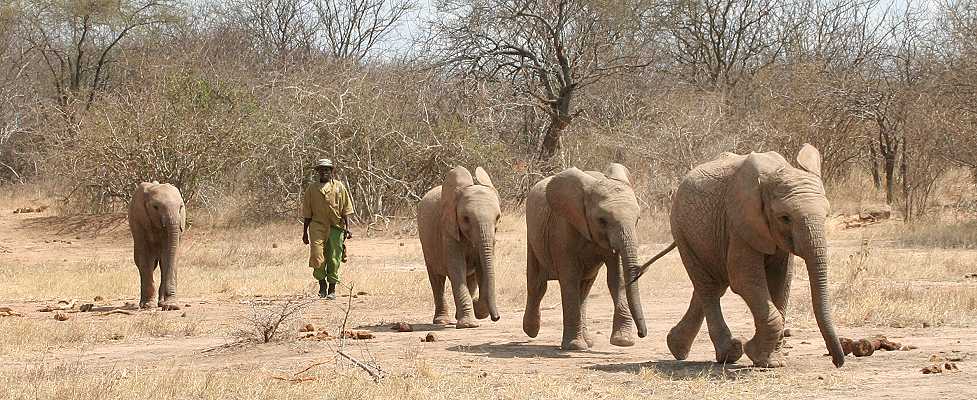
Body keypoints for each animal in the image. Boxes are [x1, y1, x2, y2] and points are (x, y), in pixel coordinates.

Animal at [416, 166, 500, 328]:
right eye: (466, 219)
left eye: (498, 218)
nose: (497, 318)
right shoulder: (448, 230)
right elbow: (457, 267)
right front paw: (468, 324)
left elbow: (482, 269)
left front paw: (477, 309)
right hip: (427, 244)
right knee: (437, 280)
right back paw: (442, 321)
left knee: (471, 278)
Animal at [524, 163, 652, 350]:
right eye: (602, 220)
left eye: (637, 219)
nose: (642, 334)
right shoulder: (562, 227)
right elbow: (569, 277)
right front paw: (575, 346)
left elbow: (617, 277)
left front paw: (623, 341)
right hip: (532, 236)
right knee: (537, 284)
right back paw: (531, 331)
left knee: (584, 289)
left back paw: (588, 342)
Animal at [632, 144, 848, 368]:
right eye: (785, 218)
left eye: (826, 215)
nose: (837, 361)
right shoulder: (739, 224)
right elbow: (745, 280)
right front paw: (757, 355)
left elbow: (781, 281)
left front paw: (772, 361)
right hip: (682, 229)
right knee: (708, 287)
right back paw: (730, 353)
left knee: (713, 284)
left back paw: (678, 348)